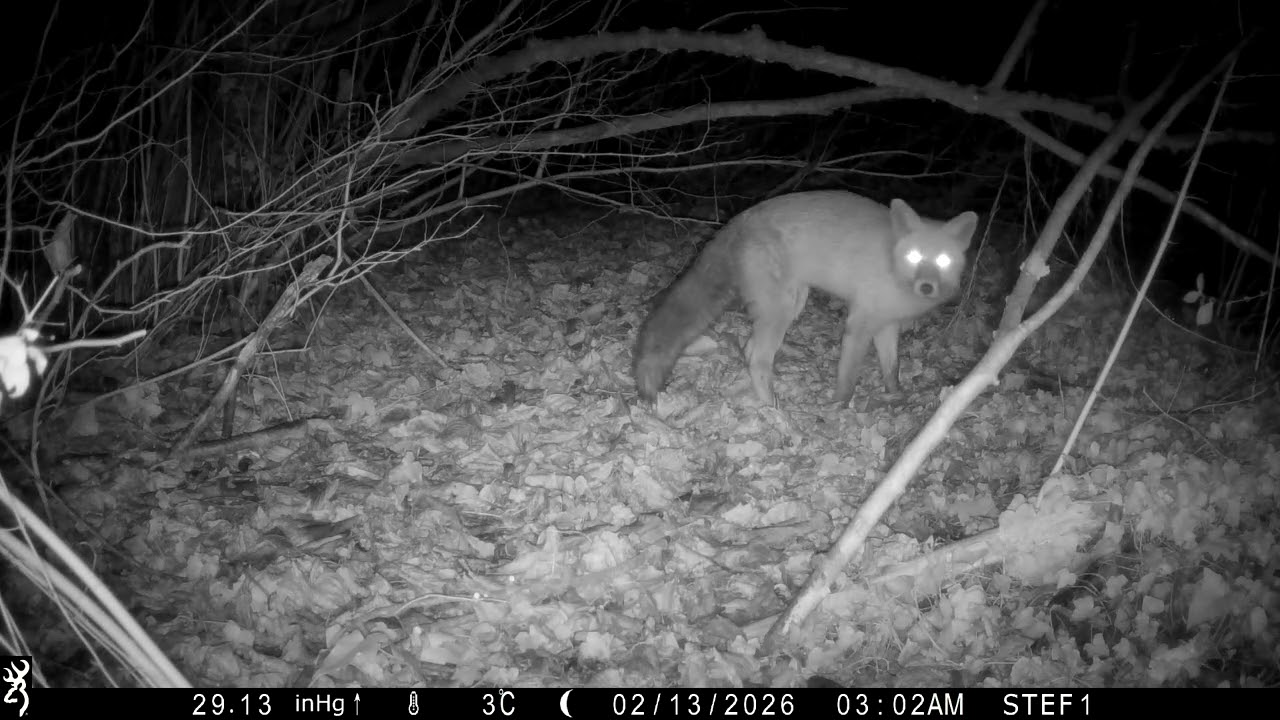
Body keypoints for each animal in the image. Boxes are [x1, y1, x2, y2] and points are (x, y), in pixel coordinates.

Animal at [633, 190, 978, 406]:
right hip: (782, 308)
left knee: (748, 349)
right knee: (757, 359)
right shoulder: (859, 323)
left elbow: (891, 368)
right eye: (915, 255)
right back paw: (774, 409)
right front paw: (838, 407)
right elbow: (848, 376)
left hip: (792, 303)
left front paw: (895, 396)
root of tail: (741, 217)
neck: (892, 266)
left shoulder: (886, 325)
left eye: (943, 260)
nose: (927, 287)